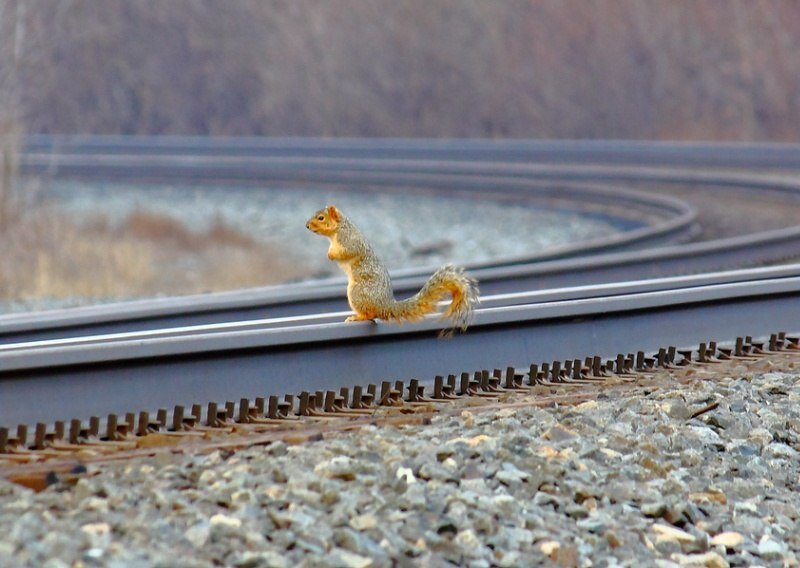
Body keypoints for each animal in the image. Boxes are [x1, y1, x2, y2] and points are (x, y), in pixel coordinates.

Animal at [306, 204, 478, 336]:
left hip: (357, 292)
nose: (307, 225)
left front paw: (331, 254)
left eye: (321, 218)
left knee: (370, 314)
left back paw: (357, 317)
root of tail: (386, 306)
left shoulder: (349, 241)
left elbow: (346, 252)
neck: (338, 230)